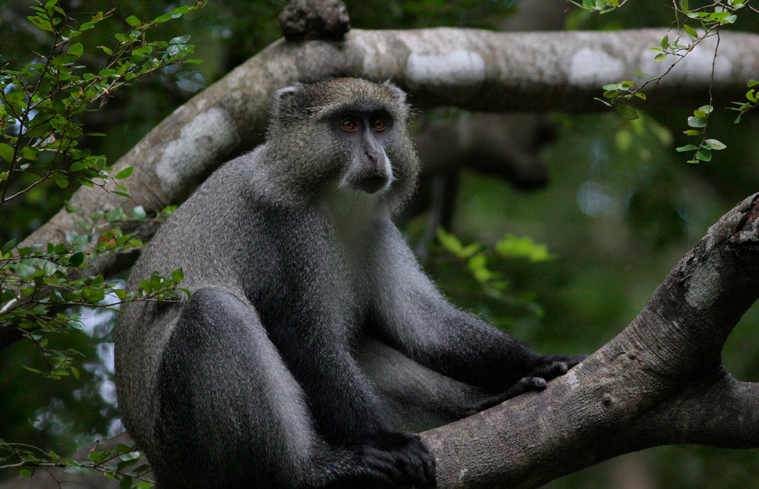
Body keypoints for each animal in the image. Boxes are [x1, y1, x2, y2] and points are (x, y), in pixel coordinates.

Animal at [116, 77, 584, 488]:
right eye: (346, 124)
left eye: (378, 123)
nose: (375, 155)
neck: (333, 202)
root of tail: (162, 467)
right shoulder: (285, 233)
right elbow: (304, 338)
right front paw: (385, 443)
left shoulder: (376, 228)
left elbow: (422, 323)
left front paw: (536, 363)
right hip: (186, 448)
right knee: (214, 313)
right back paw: (309, 471)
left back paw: (478, 402)